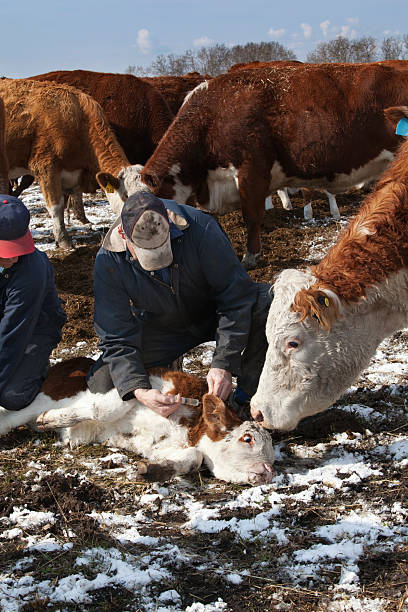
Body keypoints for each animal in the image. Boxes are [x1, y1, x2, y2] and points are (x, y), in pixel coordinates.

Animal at [0, 358, 276, 482]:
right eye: (248, 438)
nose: (269, 471)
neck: (191, 426)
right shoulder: (138, 390)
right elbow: (103, 409)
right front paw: (53, 420)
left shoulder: (162, 446)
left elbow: (193, 459)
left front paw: (153, 470)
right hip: (39, 399)